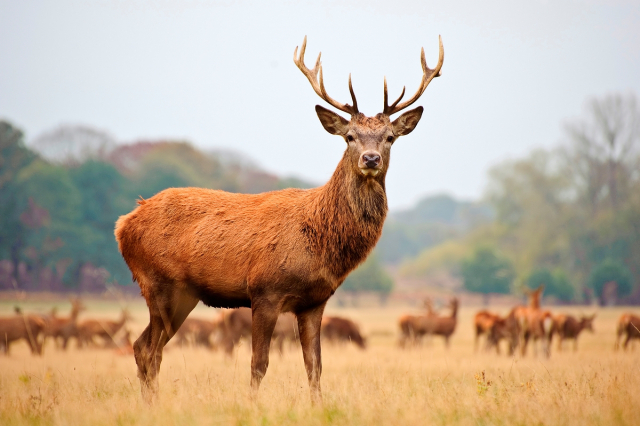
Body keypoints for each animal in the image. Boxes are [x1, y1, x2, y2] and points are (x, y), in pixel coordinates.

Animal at [114, 35, 444, 402]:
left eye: (390, 137)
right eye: (349, 137)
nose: (370, 159)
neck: (320, 240)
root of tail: (123, 224)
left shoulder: (315, 301)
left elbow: (314, 365)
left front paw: (317, 406)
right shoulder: (264, 291)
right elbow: (259, 363)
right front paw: (252, 405)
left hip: (180, 294)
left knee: (145, 347)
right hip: (159, 283)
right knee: (147, 349)